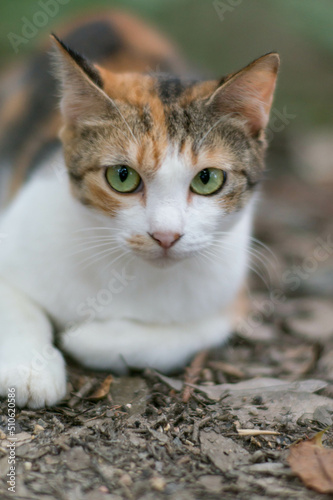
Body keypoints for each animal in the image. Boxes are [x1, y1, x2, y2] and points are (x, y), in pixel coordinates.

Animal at [0, 12, 278, 406]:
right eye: (122, 176)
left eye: (207, 179)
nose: (166, 235)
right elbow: (16, 306)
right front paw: (29, 370)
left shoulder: (231, 298)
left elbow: (183, 335)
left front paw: (86, 336)